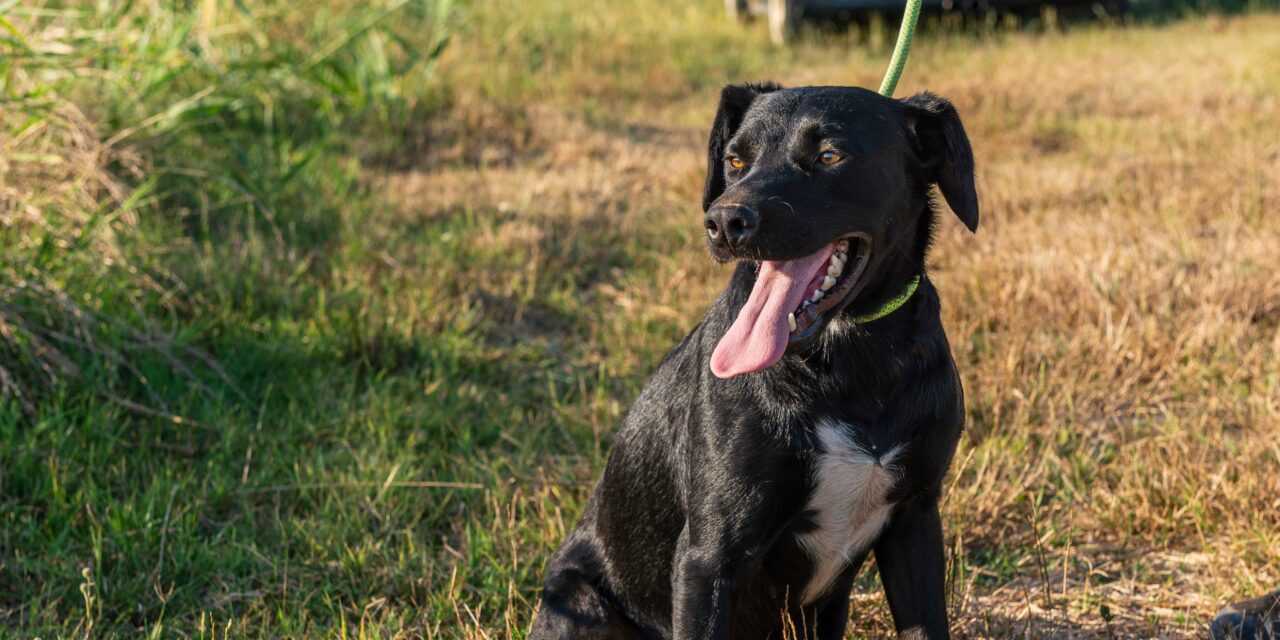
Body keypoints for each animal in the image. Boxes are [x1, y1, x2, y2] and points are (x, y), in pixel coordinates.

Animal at [529, 85, 977, 640]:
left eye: (830, 156)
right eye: (735, 160)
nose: (723, 222)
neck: (850, 360)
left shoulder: (915, 519)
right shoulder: (709, 556)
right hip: (579, 605)